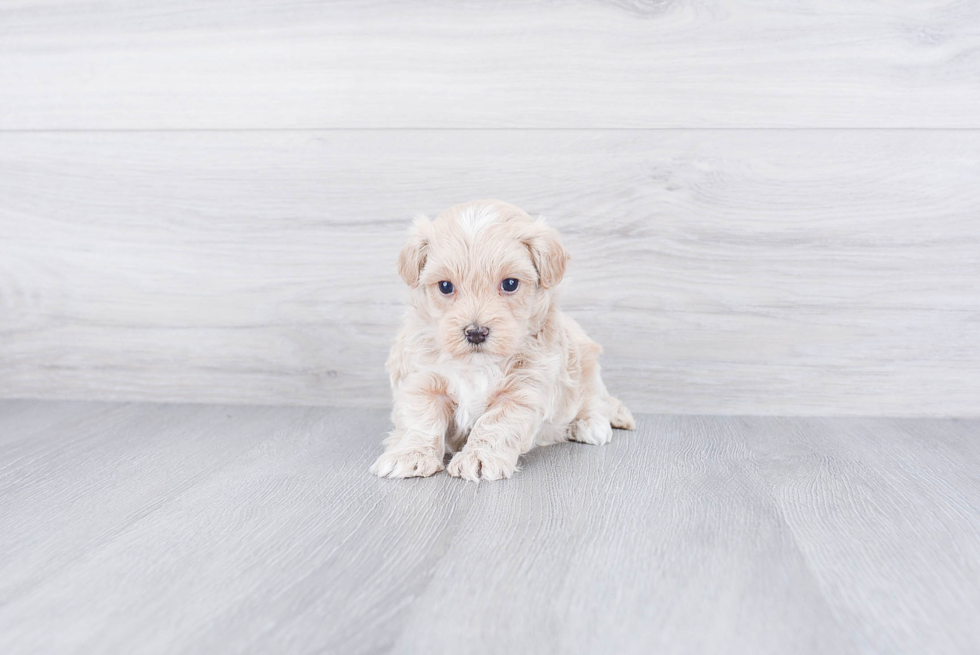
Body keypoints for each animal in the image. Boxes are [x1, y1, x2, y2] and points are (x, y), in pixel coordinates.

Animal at [370, 200, 636, 482]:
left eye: (510, 284)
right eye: (445, 286)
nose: (476, 332)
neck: (477, 365)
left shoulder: (524, 389)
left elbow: (495, 424)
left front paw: (478, 458)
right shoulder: (423, 378)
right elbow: (421, 420)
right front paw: (409, 455)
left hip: (586, 362)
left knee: (594, 399)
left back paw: (590, 424)